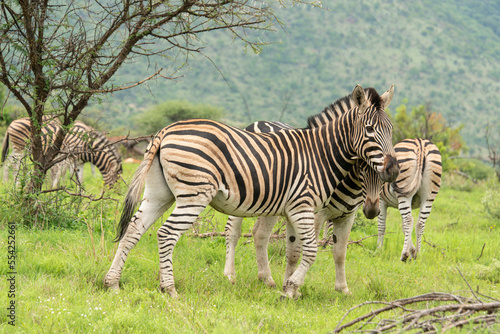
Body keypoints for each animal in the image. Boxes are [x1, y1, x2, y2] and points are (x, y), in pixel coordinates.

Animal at [104, 85, 398, 298]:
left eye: (391, 130)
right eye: (370, 130)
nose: (393, 169)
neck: (323, 154)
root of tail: (165, 130)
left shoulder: (296, 210)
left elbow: (301, 251)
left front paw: (289, 286)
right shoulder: (305, 208)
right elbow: (311, 250)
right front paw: (292, 288)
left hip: (159, 193)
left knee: (133, 229)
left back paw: (112, 283)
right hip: (194, 195)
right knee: (167, 234)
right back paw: (170, 289)